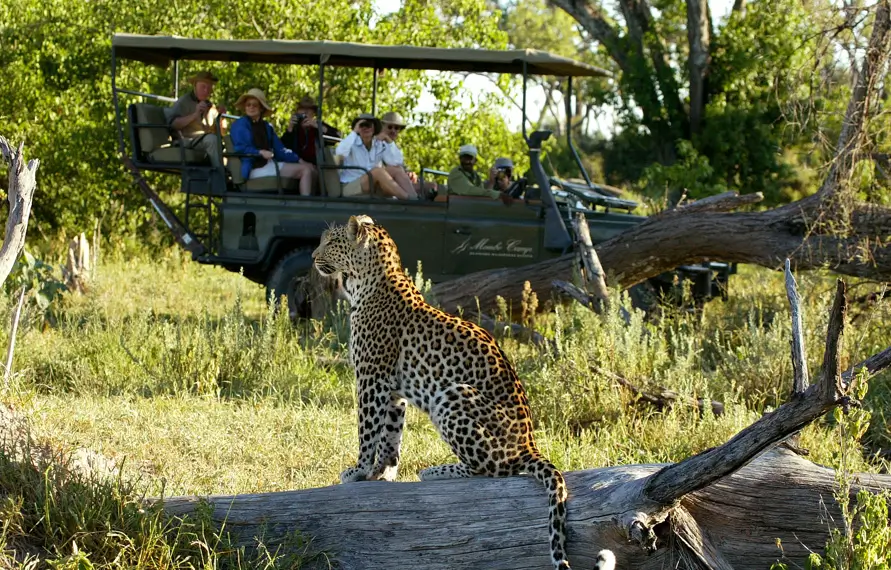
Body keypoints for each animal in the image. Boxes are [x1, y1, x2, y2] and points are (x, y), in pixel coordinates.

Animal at [312, 215, 615, 570]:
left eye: (331, 242)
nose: (313, 257)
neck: (368, 281)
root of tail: (530, 444)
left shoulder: (371, 378)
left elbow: (368, 430)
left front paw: (358, 470)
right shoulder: (394, 391)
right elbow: (390, 436)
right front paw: (381, 473)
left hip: (451, 396)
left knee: (494, 468)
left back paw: (436, 471)